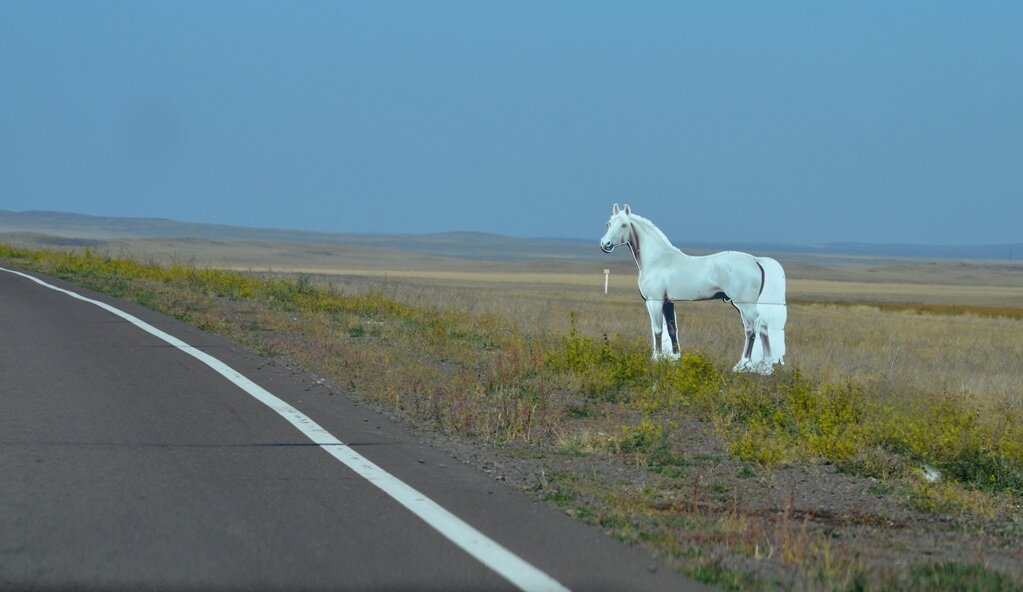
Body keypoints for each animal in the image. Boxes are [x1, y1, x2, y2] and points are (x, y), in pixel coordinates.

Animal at [599, 203, 786, 374]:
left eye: (623, 225)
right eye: (609, 223)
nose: (605, 244)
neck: (657, 259)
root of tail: (756, 260)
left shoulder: (654, 301)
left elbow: (657, 330)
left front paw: (655, 358)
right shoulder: (668, 302)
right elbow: (672, 329)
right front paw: (675, 358)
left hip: (745, 305)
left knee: (756, 327)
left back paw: (751, 366)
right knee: (757, 327)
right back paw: (758, 366)